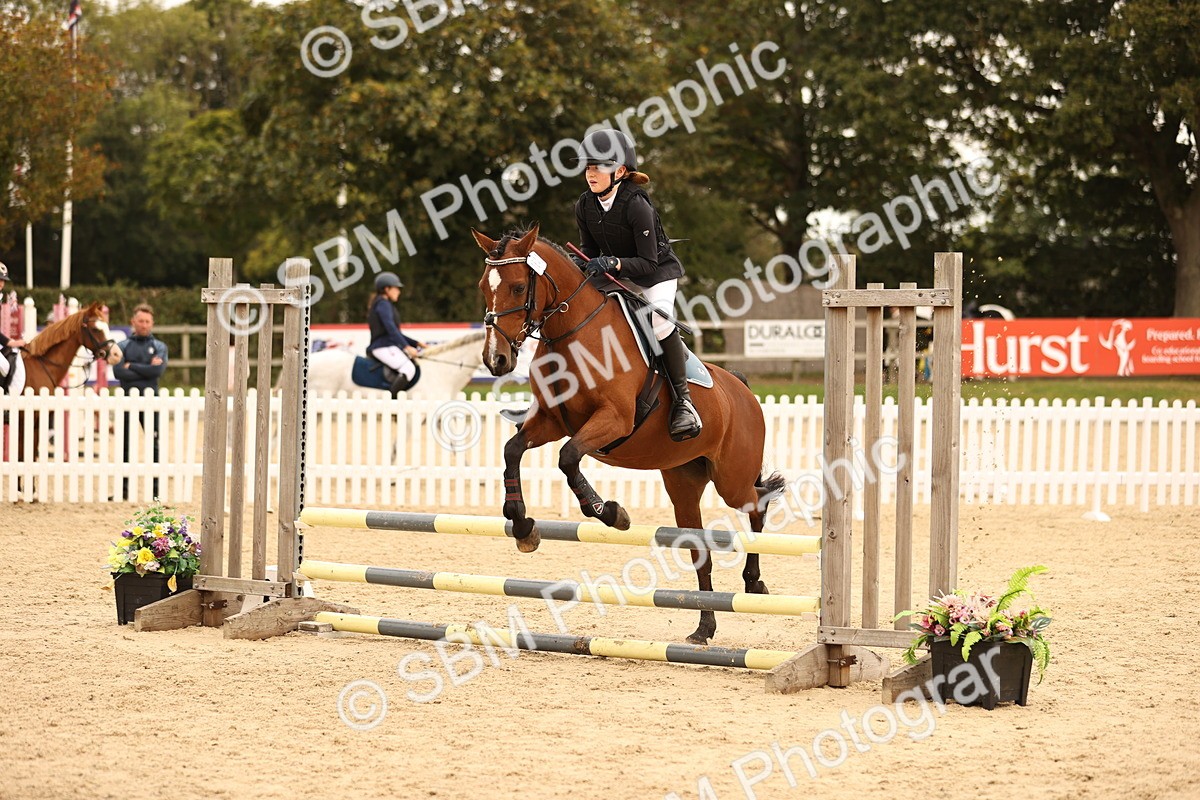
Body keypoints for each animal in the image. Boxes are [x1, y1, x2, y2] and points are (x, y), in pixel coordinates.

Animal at [472, 225, 785, 645]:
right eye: (483, 287)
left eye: (519, 287)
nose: (496, 360)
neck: (573, 334)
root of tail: (742, 388)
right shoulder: (550, 421)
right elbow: (512, 450)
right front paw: (522, 526)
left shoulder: (613, 420)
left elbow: (568, 458)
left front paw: (609, 512)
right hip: (684, 483)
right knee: (701, 547)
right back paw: (704, 627)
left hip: (731, 478)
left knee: (758, 504)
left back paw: (753, 582)